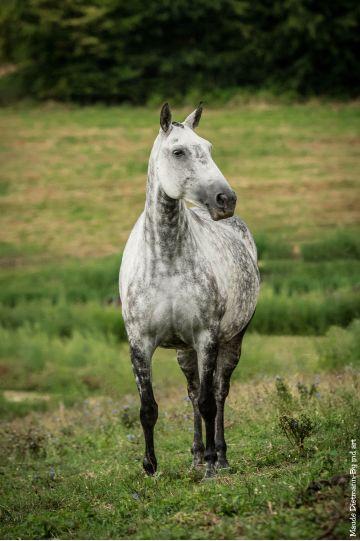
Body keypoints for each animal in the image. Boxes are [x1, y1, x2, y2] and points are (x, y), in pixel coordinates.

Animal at [119, 102, 260, 476]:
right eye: (178, 151)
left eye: (208, 148)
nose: (226, 199)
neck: (166, 259)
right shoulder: (140, 343)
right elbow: (148, 408)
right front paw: (150, 466)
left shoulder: (206, 337)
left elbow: (209, 401)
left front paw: (212, 463)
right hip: (184, 350)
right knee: (193, 390)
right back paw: (196, 455)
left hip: (232, 339)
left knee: (219, 391)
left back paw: (218, 457)